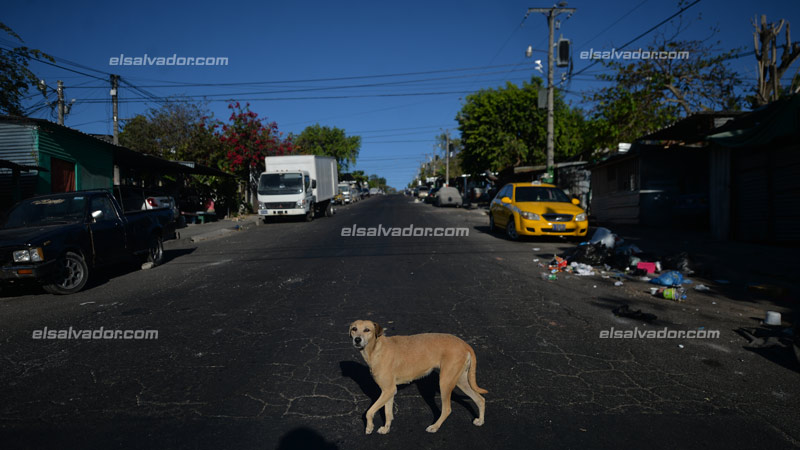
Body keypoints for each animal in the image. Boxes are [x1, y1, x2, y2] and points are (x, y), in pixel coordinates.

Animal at [349, 320, 487, 434]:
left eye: (367, 330)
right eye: (354, 329)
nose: (357, 339)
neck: (376, 349)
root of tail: (464, 344)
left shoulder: (388, 390)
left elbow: (369, 412)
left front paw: (369, 427)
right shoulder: (388, 391)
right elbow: (387, 413)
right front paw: (386, 429)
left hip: (445, 382)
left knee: (447, 409)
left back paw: (434, 427)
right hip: (460, 380)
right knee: (480, 399)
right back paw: (480, 421)